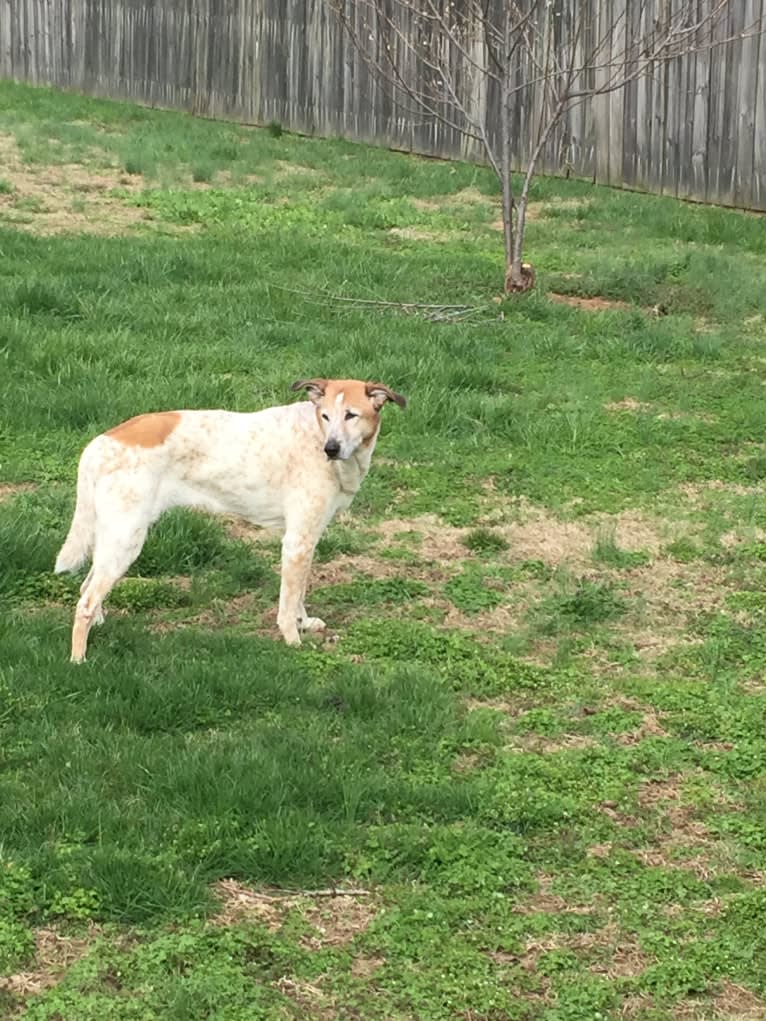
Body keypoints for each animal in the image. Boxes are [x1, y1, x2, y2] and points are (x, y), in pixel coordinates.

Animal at [54, 381, 408, 661]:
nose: (331, 448)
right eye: (326, 416)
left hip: (112, 538)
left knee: (87, 586)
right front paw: (293, 640)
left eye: (351, 415)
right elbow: (288, 602)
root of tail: (99, 443)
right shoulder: (297, 542)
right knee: (85, 602)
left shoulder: (307, 540)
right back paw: (78, 660)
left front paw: (304, 623)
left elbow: (299, 595)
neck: (314, 435)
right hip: (126, 539)